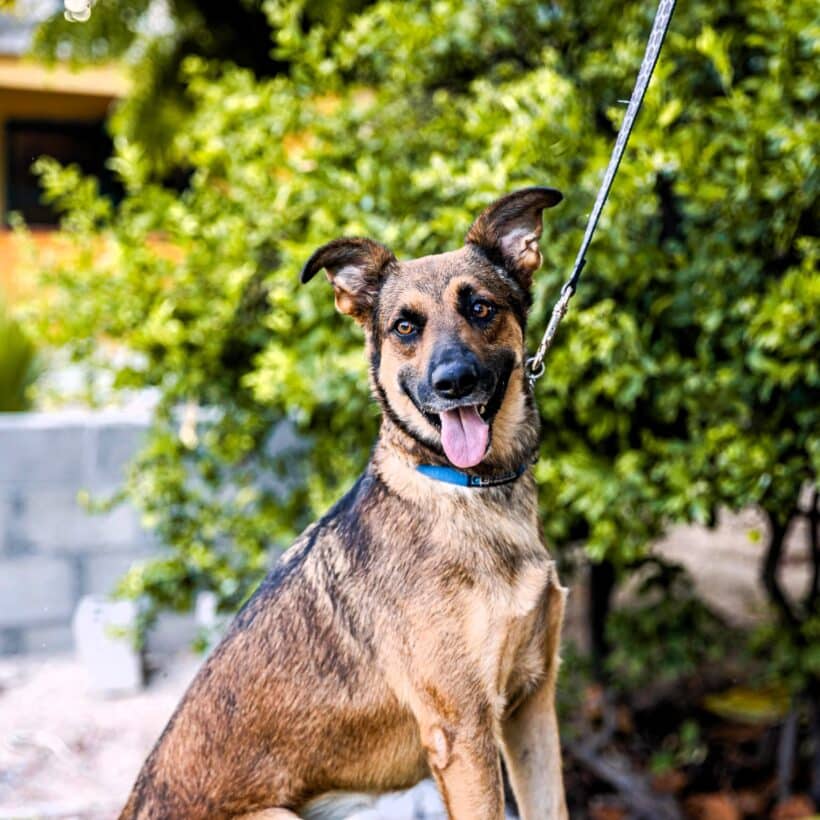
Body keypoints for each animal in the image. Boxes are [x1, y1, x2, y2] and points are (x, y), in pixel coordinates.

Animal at [120, 187, 572, 820]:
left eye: (481, 308)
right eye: (405, 326)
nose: (453, 382)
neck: (467, 488)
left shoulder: (532, 704)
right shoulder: (463, 731)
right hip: (280, 814)